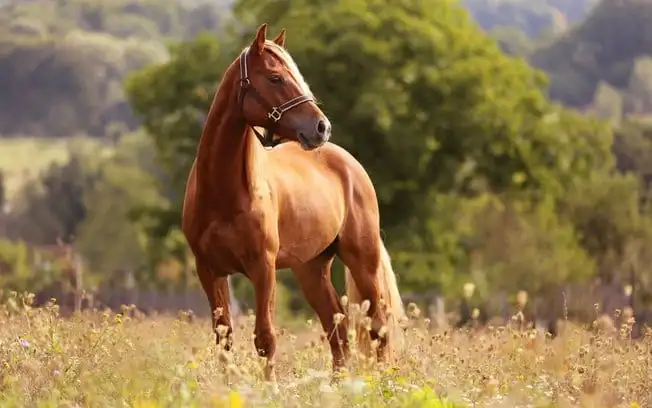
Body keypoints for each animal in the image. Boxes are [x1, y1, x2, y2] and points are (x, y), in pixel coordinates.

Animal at [181, 23, 404, 380]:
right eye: (275, 78)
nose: (321, 127)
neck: (223, 193)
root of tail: (348, 162)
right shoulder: (209, 270)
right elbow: (224, 339)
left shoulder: (263, 267)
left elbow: (265, 338)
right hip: (311, 269)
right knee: (337, 331)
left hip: (362, 260)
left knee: (377, 327)